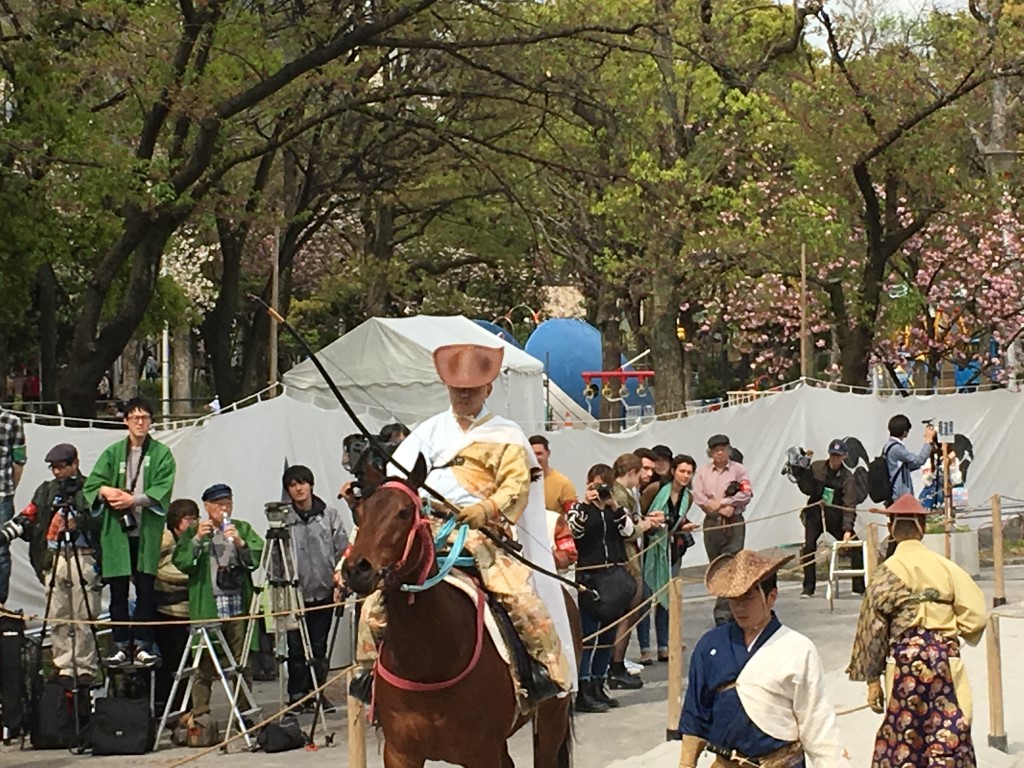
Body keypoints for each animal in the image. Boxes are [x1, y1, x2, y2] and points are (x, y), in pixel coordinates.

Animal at [344, 456, 581, 768]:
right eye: (359, 513)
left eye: (404, 512)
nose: (356, 569)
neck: (428, 663)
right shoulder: (399, 753)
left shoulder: (481, 753)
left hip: (553, 714)